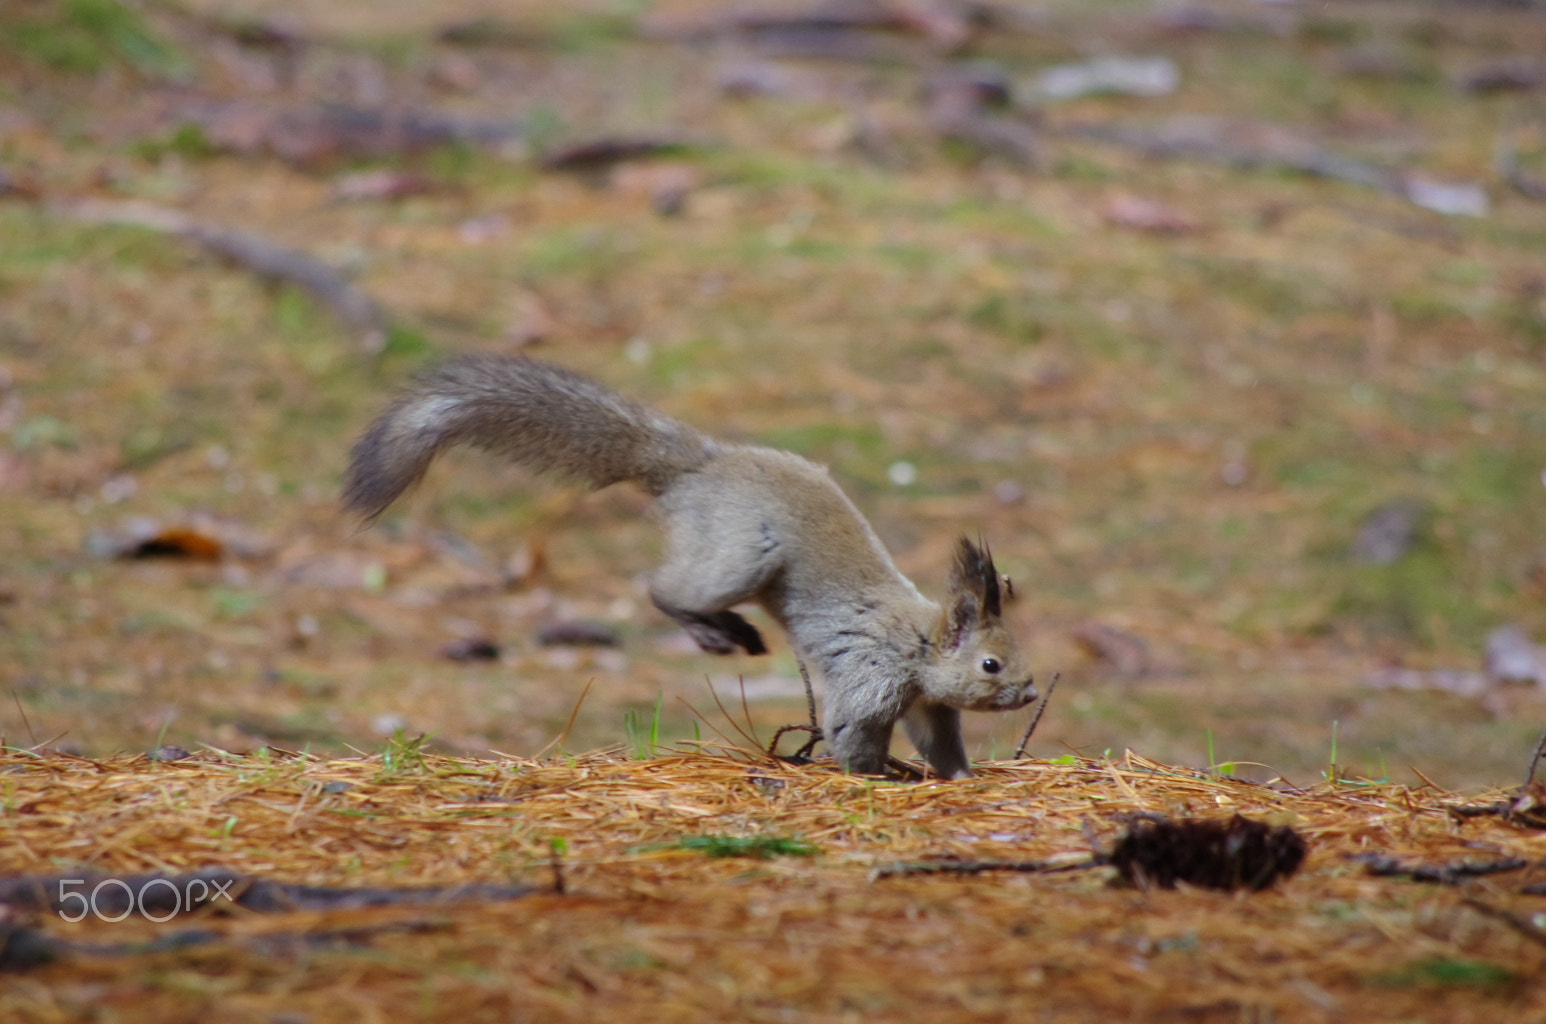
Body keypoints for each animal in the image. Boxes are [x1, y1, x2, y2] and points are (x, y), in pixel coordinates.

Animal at [344, 357, 1032, 782]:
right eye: (990, 664)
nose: (1027, 694)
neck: (918, 642)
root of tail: (699, 467)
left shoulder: (927, 703)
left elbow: (939, 739)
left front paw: (961, 776)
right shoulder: (872, 674)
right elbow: (851, 732)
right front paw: (878, 777)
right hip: (737, 557)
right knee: (665, 590)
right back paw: (714, 629)